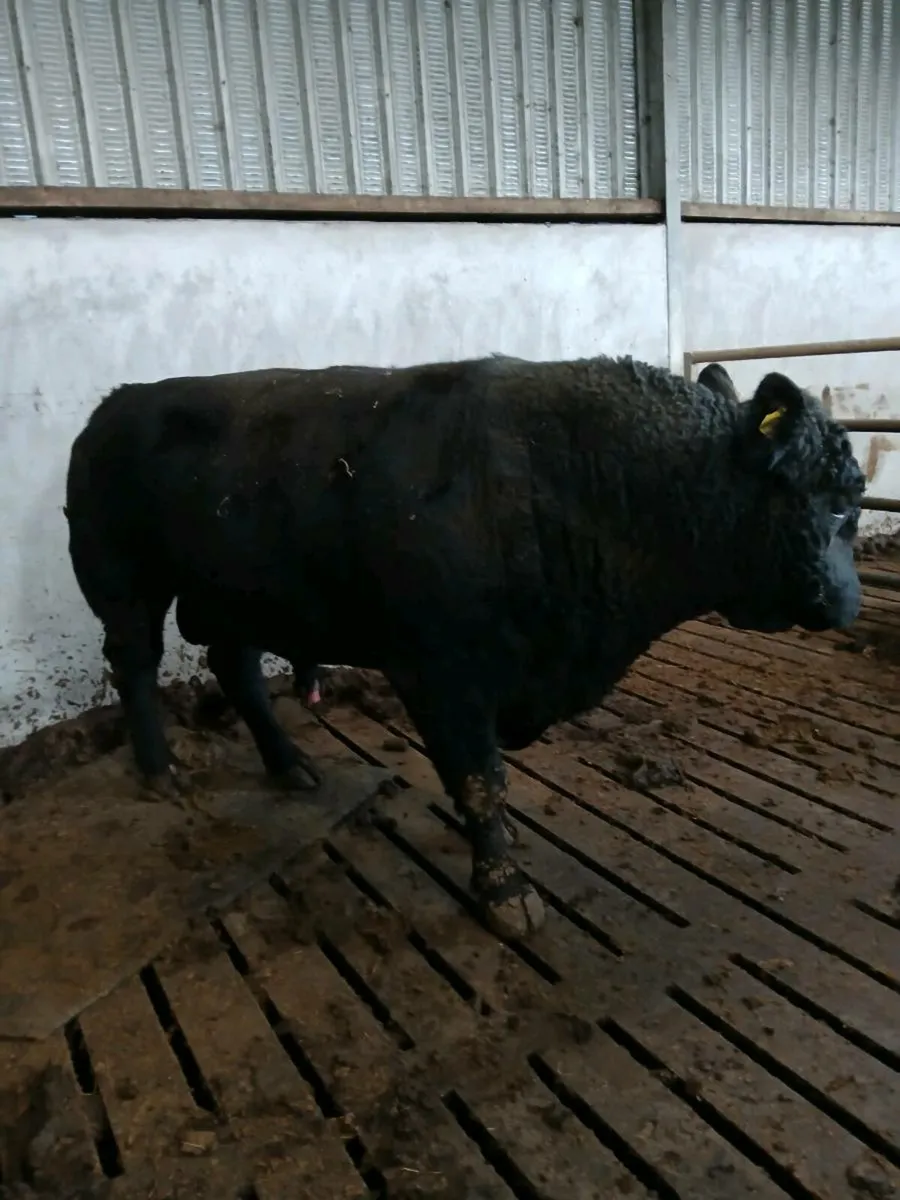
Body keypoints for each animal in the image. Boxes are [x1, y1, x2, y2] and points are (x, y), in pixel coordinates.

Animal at [65, 355, 865, 939]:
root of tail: (115, 403)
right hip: (123, 584)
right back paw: (161, 771)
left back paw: (290, 765)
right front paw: (505, 890)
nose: (847, 603)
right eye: (834, 504)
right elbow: (480, 781)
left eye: (855, 499)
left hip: (233, 598)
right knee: (135, 666)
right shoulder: (441, 673)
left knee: (236, 670)